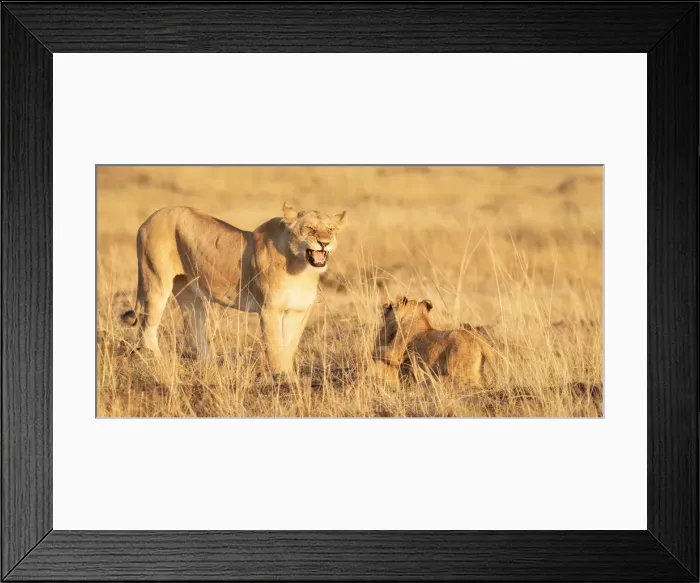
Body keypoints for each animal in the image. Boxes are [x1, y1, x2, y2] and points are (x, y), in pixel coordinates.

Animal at [120, 203, 348, 375]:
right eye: (309, 228)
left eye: (331, 230)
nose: (324, 243)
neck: (302, 270)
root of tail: (150, 217)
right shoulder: (269, 310)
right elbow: (276, 346)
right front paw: (282, 378)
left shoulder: (298, 311)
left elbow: (290, 345)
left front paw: (289, 375)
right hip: (155, 281)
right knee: (147, 327)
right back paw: (158, 362)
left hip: (189, 293)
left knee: (195, 327)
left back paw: (211, 365)